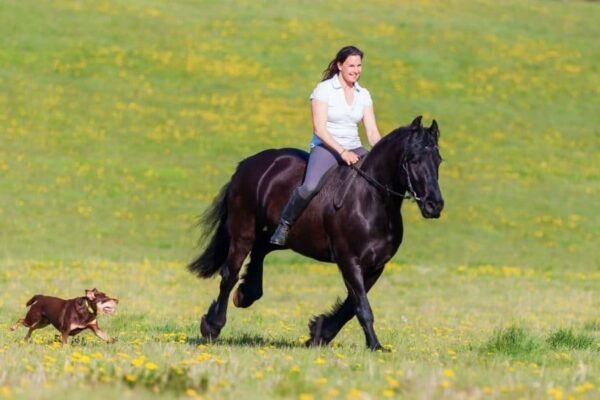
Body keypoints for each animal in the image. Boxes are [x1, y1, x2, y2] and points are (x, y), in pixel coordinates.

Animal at [190, 115, 442, 350]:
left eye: (438, 160)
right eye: (414, 160)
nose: (435, 206)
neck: (372, 199)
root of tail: (246, 164)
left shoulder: (376, 266)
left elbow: (350, 306)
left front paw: (319, 333)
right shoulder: (349, 261)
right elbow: (362, 306)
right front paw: (375, 346)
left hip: (283, 236)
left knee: (261, 249)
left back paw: (246, 294)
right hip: (243, 232)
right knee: (230, 273)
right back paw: (212, 326)